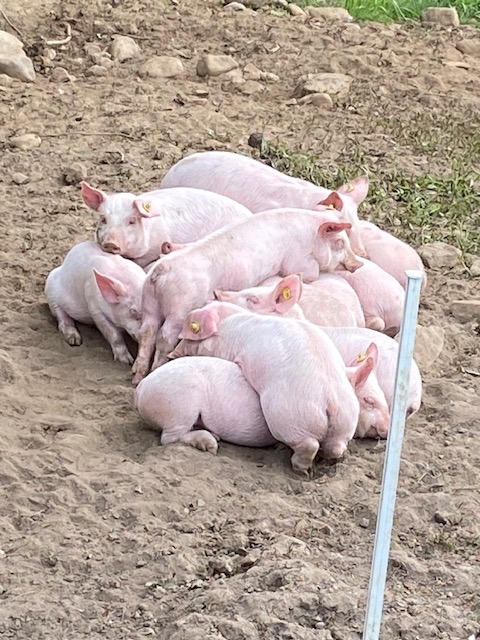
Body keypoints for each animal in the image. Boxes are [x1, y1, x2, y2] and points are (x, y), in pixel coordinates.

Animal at [132, 207, 363, 383]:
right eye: (340, 242)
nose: (358, 263)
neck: (310, 235)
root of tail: (163, 269)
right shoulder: (298, 262)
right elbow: (308, 274)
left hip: (149, 302)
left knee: (146, 331)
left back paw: (136, 376)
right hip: (180, 307)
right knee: (164, 336)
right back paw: (153, 371)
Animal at [172, 302, 363, 474]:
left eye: (191, 336)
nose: (172, 354)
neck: (226, 325)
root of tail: (331, 401)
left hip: (287, 415)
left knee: (308, 444)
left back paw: (301, 470)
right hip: (345, 423)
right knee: (335, 447)